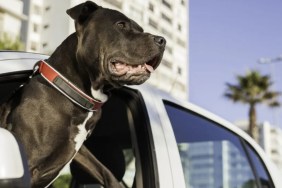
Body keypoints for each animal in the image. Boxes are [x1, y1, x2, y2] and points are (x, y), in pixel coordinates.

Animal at [0, 0, 165, 187]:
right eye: (121, 25)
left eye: (141, 30)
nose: (162, 40)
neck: (73, 93)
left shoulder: (79, 149)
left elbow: (104, 170)